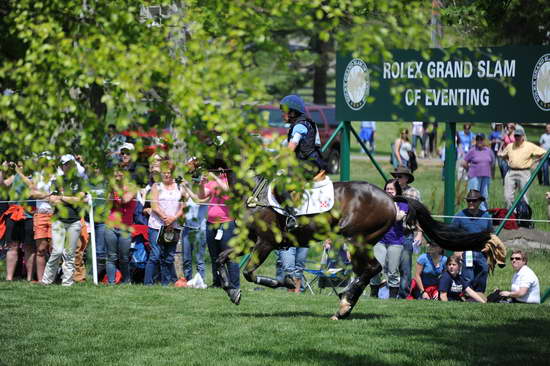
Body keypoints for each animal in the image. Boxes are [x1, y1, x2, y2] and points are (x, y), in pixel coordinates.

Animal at [216, 180, 492, 320]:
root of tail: (390, 198)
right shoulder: (247, 240)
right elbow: (221, 259)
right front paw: (231, 291)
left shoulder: (265, 242)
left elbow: (250, 273)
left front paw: (284, 282)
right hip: (363, 242)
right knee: (368, 271)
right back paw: (346, 303)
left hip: (357, 238)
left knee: (371, 269)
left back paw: (344, 306)